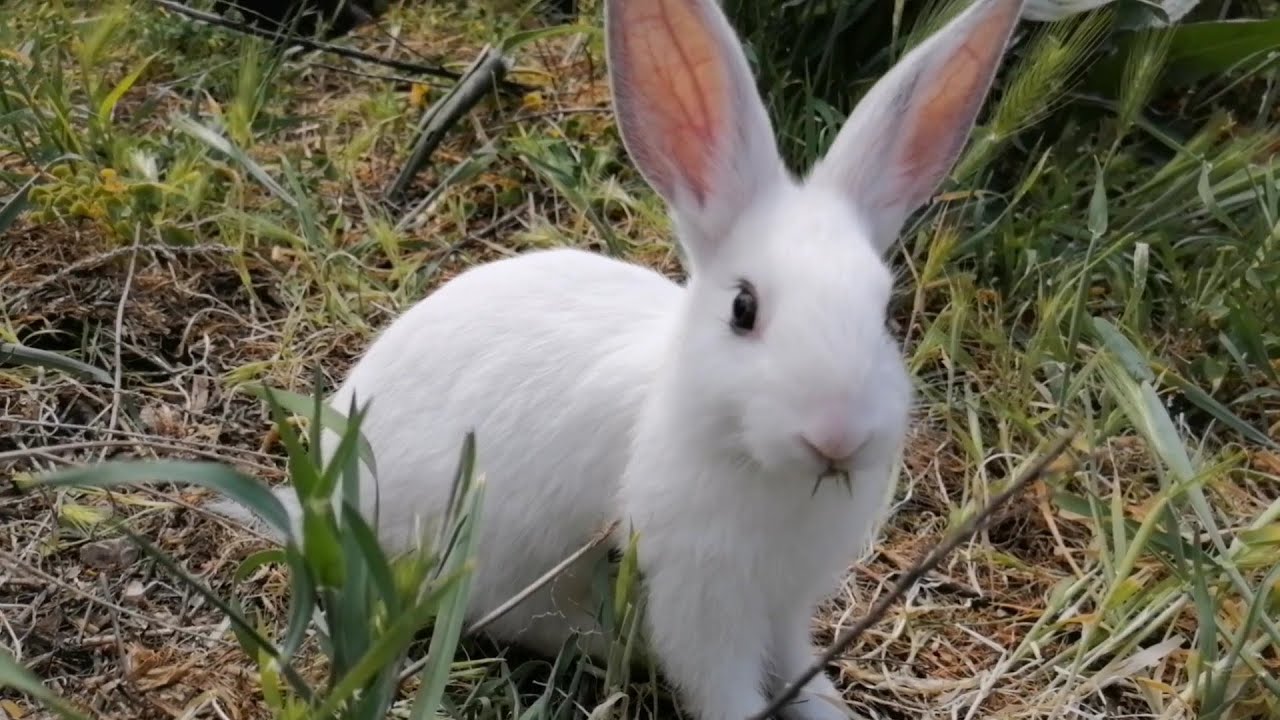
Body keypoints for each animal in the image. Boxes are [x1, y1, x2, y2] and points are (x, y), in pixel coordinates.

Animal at [209, 0, 1025, 718]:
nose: (838, 435)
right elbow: (723, 686)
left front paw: (832, 710)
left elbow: (799, 664)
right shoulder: (701, 601)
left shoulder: (789, 602)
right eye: (743, 309)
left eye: (886, 313)